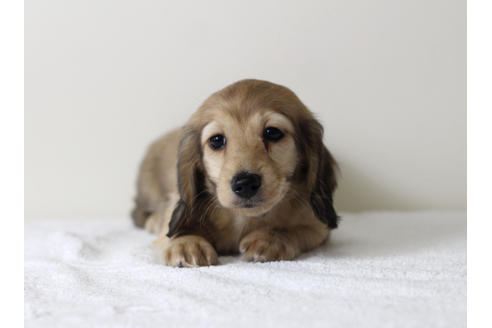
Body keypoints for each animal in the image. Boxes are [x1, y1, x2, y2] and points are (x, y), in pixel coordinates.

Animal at [132, 79, 338, 266]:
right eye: (216, 140)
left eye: (272, 132)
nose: (245, 183)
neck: (243, 219)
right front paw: (186, 243)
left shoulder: (318, 226)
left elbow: (296, 230)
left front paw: (271, 239)